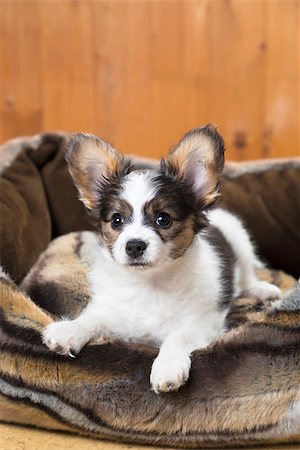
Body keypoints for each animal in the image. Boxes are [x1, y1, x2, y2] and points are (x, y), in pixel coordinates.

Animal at [42, 125, 282, 392]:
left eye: (163, 219)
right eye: (116, 220)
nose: (135, 245)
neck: (149, 284)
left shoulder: (203, 323)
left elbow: (177, 336)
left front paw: (167, 367)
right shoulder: (111, 309)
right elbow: (92, 318)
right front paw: (70, 329)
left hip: (238, 236)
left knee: (247, 277)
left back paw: (264, 291)